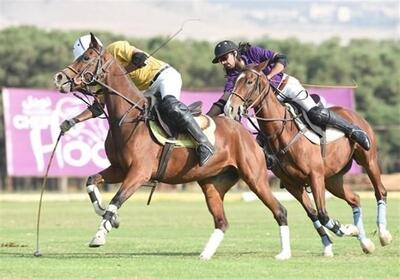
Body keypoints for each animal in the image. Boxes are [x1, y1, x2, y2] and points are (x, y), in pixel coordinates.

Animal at [52, 34, 290, 262]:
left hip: (254, 177)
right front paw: (107, 215)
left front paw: (100, 235)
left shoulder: (139, 173)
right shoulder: (119, 169)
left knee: (280, 210)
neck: (129, 118)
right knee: (222, 221)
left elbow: (116, 199)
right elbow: (91, 181)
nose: (59, 77)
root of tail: (246, 134)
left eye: (86, 57)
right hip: (212, 183)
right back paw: (205, 255)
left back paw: (284, 253)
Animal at [227, 61, 392, 258]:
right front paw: (335, 240)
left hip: (368, 160)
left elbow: (322, 214)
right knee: (355, 198)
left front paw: (346, 229)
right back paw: (365, 242)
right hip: (332, 179)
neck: (282, 132)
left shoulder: (315, 176)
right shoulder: (292, 183)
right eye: (234, 80)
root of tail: (352, 113)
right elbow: (313, 213)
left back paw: (383, 234)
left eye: (250, 81)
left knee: (380, 191)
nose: (230, 108)